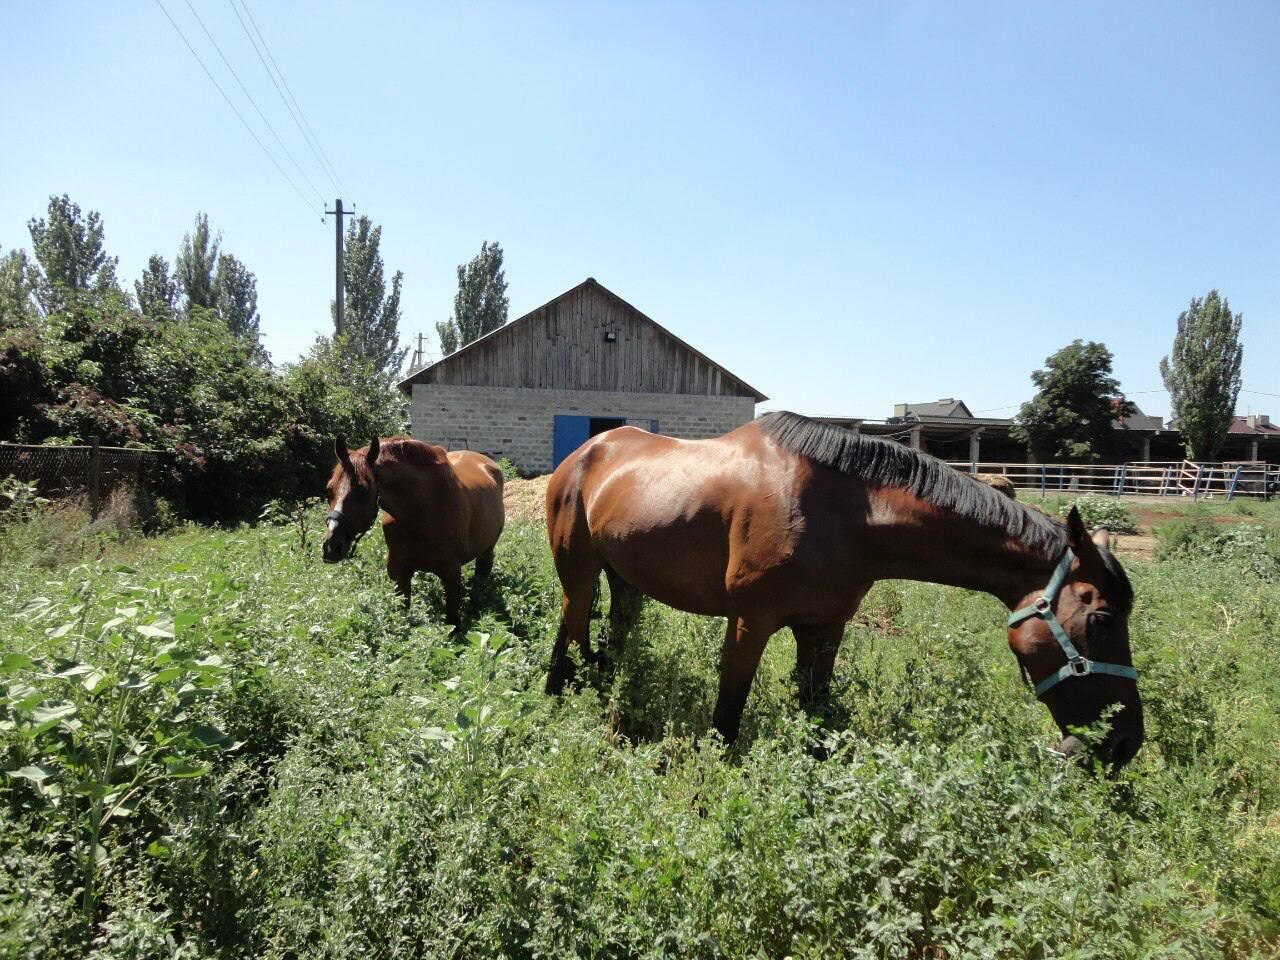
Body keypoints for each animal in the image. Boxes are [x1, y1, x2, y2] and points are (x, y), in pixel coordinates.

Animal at [320, 435, 504, 624]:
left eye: (363, 490)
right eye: (329, 489)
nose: (331, 547)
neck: (420, 511)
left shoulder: (451, 573)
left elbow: (452, 620)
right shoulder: (398, 571)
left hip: (487, 550)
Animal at [545, 414, 1146, 773]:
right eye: (1102, 620)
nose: (1125, 744)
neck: (844, 512)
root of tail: (586, 452)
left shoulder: (824, 628)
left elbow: (815, 717)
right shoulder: (750, 623)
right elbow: (727, 718)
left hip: (624, 580)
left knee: (603, 635)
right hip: (579, 572)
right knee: (571, 630)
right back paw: (564, 700)